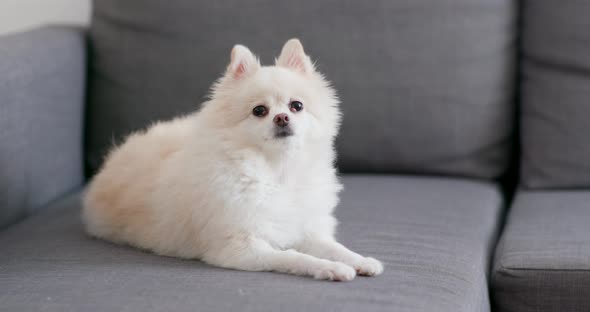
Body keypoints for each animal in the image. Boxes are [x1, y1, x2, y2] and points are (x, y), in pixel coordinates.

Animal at [85, 38, 386, 280]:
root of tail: (118, 154)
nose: (282, 117)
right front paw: (330, 268)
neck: (276, 171)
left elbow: (334, 247)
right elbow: (294, 256)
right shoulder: (241, 248)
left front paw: (360, 260)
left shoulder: (306, 230)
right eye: (259, 110)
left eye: (296, 106)